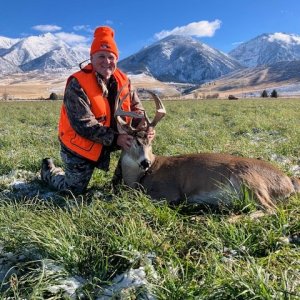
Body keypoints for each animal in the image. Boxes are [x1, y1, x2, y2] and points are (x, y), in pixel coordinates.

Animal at [113, 86, 300, 213]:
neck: (138, 179)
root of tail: (288, 181)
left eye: (150, 142)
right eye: (134, 141)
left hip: (250, 180)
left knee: (271, 209)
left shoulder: (169, 191)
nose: (146, 162)